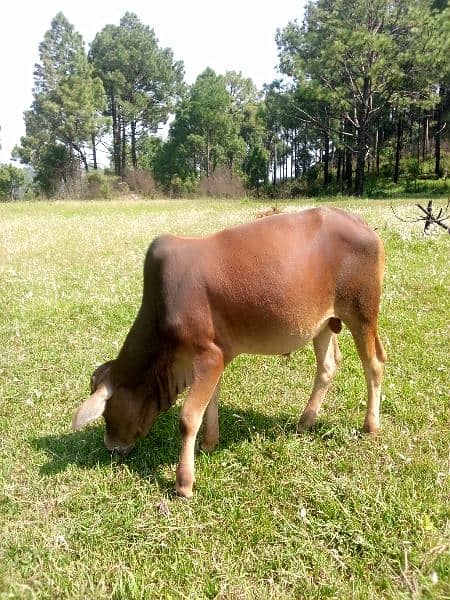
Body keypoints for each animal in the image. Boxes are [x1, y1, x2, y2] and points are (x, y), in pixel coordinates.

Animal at [73, 207, 386, 496]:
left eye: (107, 411)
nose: (111, 447)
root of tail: (361, 223)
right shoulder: (217, 356)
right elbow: (211, 400)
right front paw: (210, 442)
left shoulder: (208, 356)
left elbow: (188, 418)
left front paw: (184, 483)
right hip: (323, 324)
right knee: (328, 366)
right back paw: (306, 420)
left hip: (362, 313)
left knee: (374, 363)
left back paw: (370, 425)